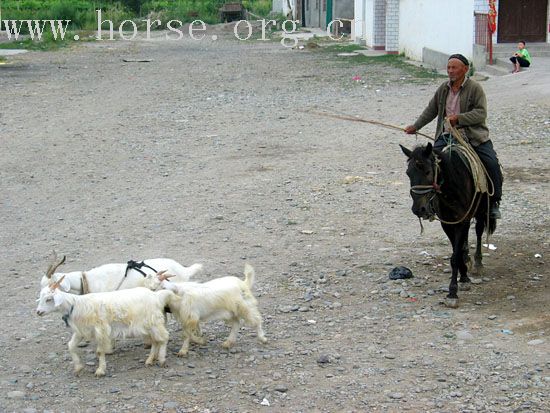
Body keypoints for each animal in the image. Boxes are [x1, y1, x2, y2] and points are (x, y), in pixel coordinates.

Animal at [37, 276, 175, 376]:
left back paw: (161, 359)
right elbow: (70, 346)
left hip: (153, 321)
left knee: (164, 338)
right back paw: (150, 360)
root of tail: (156, 296)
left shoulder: (100, 329)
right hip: (147, 325)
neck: (76, 305)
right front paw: (78, 367)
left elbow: (99, 351)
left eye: (49, 299)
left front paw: (100, 370)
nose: (38, 312)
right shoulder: (83, 330)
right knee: (156, 340)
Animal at [404, 142, 498, 306]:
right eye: (408, 173)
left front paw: (453, 292)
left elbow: (455, 256)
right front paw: (464, 277)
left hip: (481, 211)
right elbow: (456, 251)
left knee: (479, 231)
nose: (418, 209)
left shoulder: (463, 221)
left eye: (428, 172)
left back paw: (478, 262)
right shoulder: (447, 223)